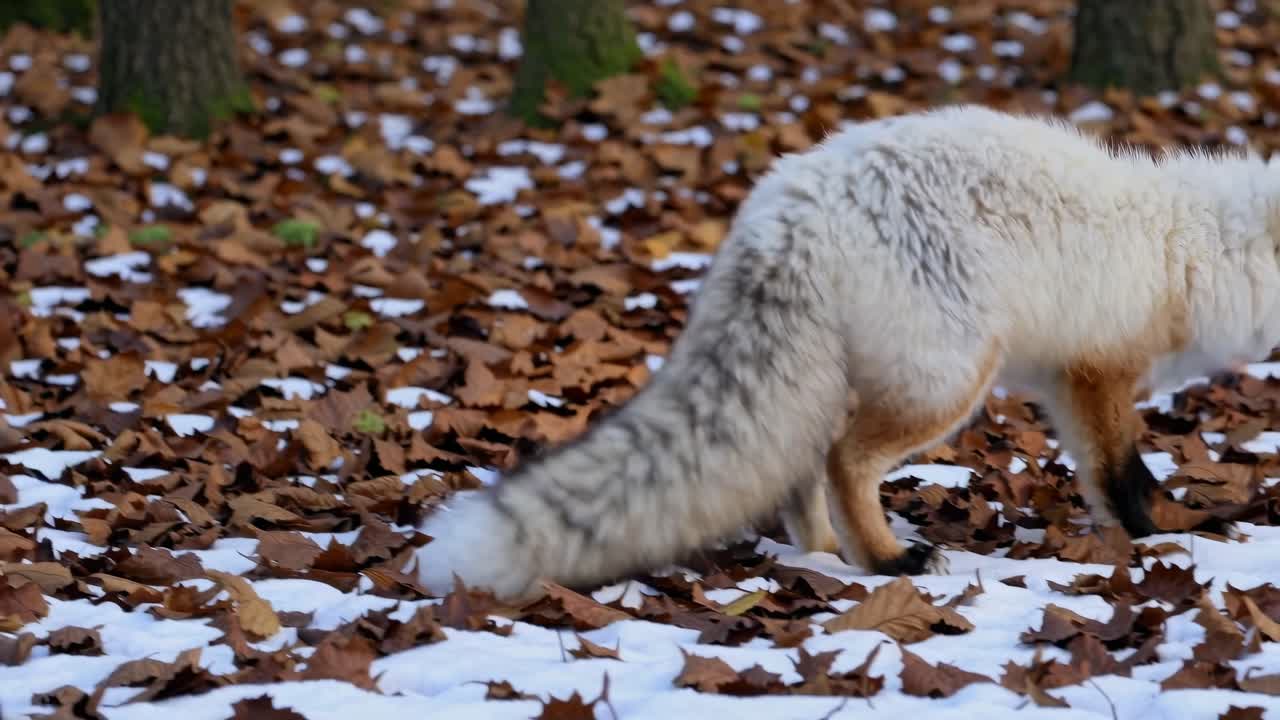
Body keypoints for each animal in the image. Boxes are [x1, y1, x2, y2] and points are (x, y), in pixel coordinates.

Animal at [413, 104, 1280, 603]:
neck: (1189, 250)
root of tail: (787, 209)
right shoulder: (1098, 373)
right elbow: (1124, 475)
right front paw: (1160, 537)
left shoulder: (1067, 382)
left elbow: (1113, 475)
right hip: (949, 380)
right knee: (841, 461)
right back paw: (886, 561)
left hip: (856, 378)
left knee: (802, 466)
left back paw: (825, 555)